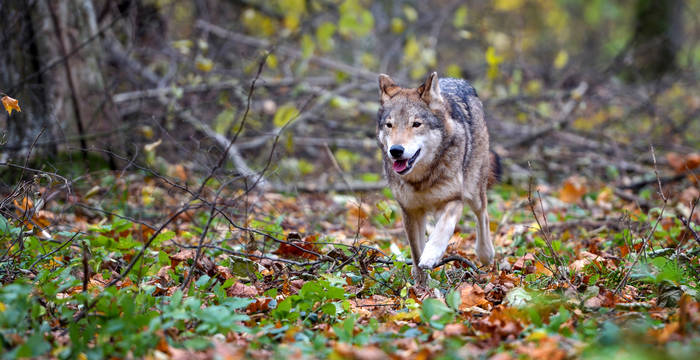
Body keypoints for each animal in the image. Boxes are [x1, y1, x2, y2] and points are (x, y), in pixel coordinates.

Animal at [378, 72, 498, 284]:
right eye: (389, 125)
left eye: (416, 124)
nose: (396, 150)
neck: (422, 180)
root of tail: (458, 80)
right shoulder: (411, 211)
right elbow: (416, 252)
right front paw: (421, 285)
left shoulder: (454, 199)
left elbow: (442, 230)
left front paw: (431, 255)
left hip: (474, 190)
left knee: (482, 215)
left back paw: (485, 254)